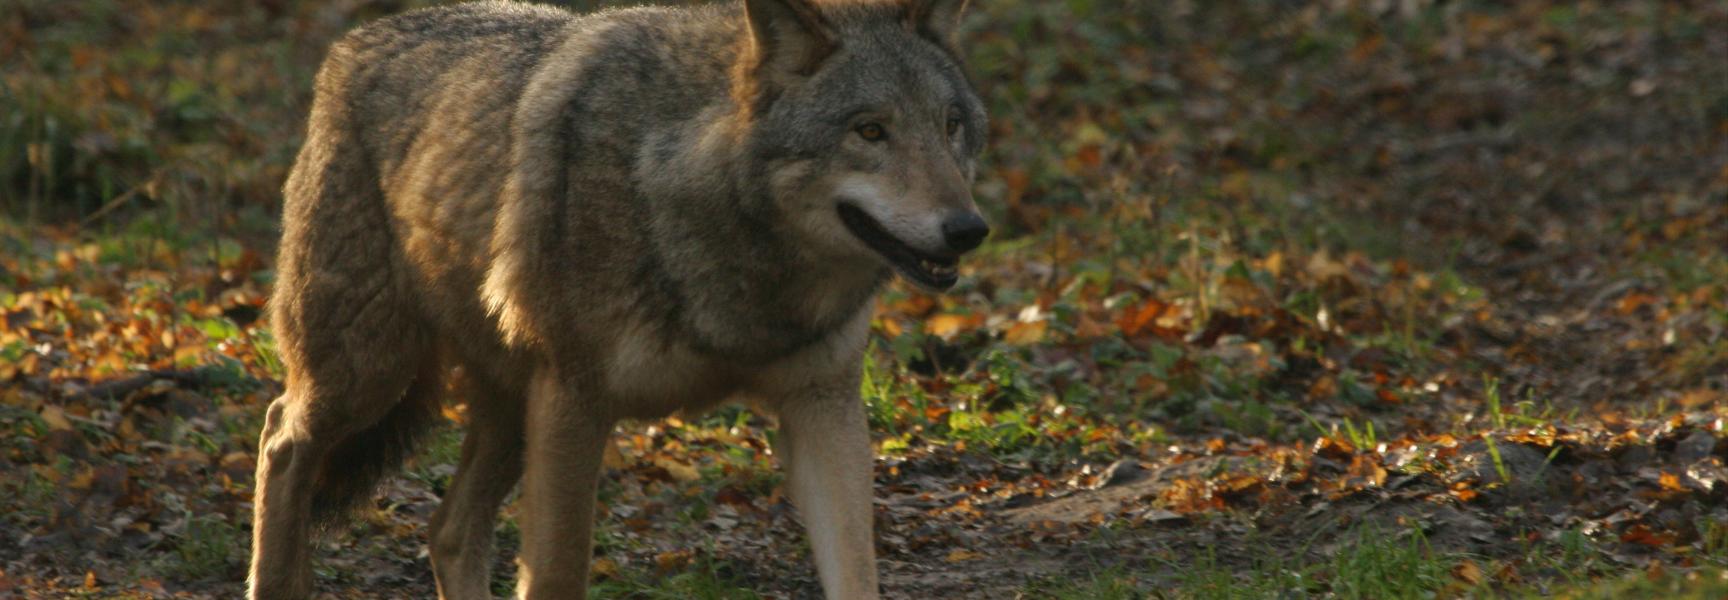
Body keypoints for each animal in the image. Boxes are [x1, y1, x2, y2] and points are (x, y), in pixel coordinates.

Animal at [247, 0, 988, 598]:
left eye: (951, 125)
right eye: (870, 131)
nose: (968, 229)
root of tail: (353, 44)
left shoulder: (822, 406)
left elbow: (856, 571)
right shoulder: (575, 404)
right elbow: (556, 575)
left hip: (509, 410)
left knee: (446, 530)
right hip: (369, 374)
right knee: (281, 438)